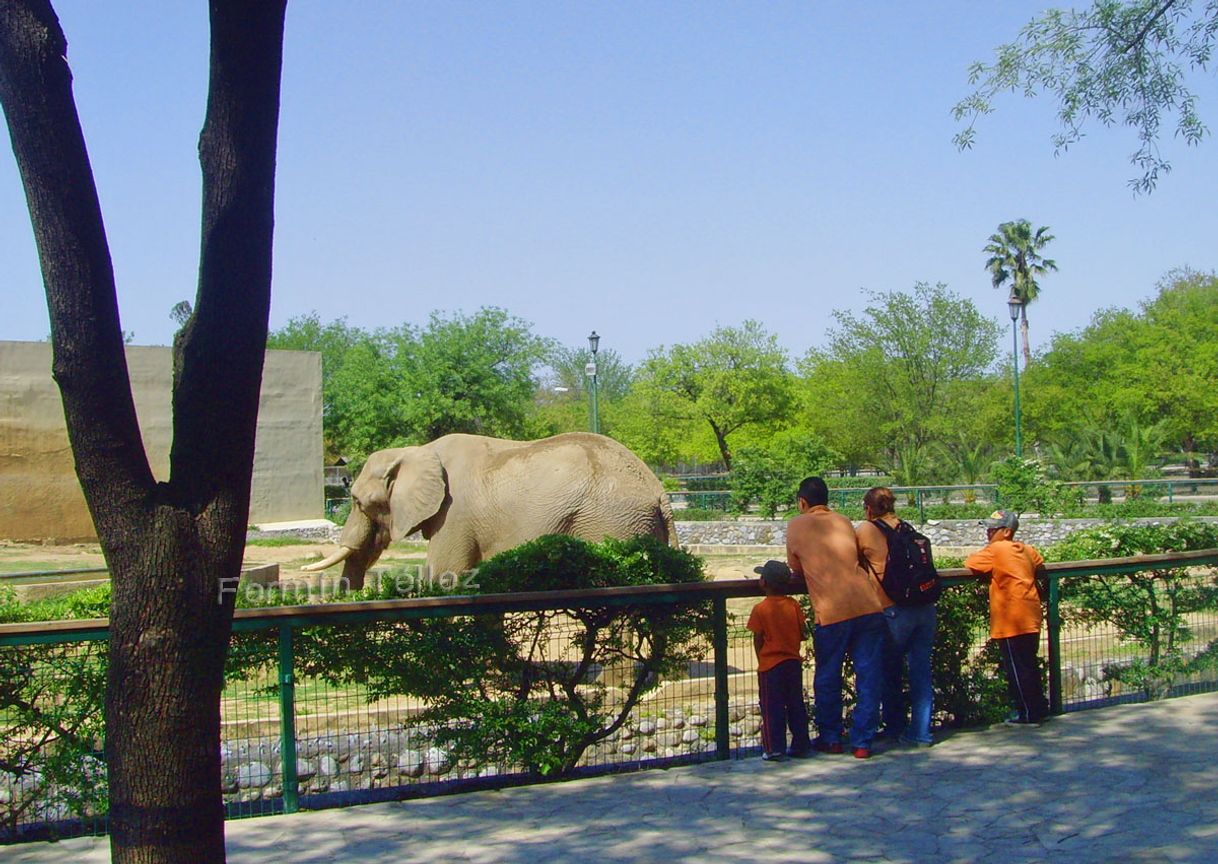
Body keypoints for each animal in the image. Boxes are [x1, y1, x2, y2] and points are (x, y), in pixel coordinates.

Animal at [303, 428, 682, 587]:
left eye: (357, 501)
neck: (416, 450)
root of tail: (660, 491)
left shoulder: (454, 514)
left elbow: (445, 574)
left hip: (611, 522)